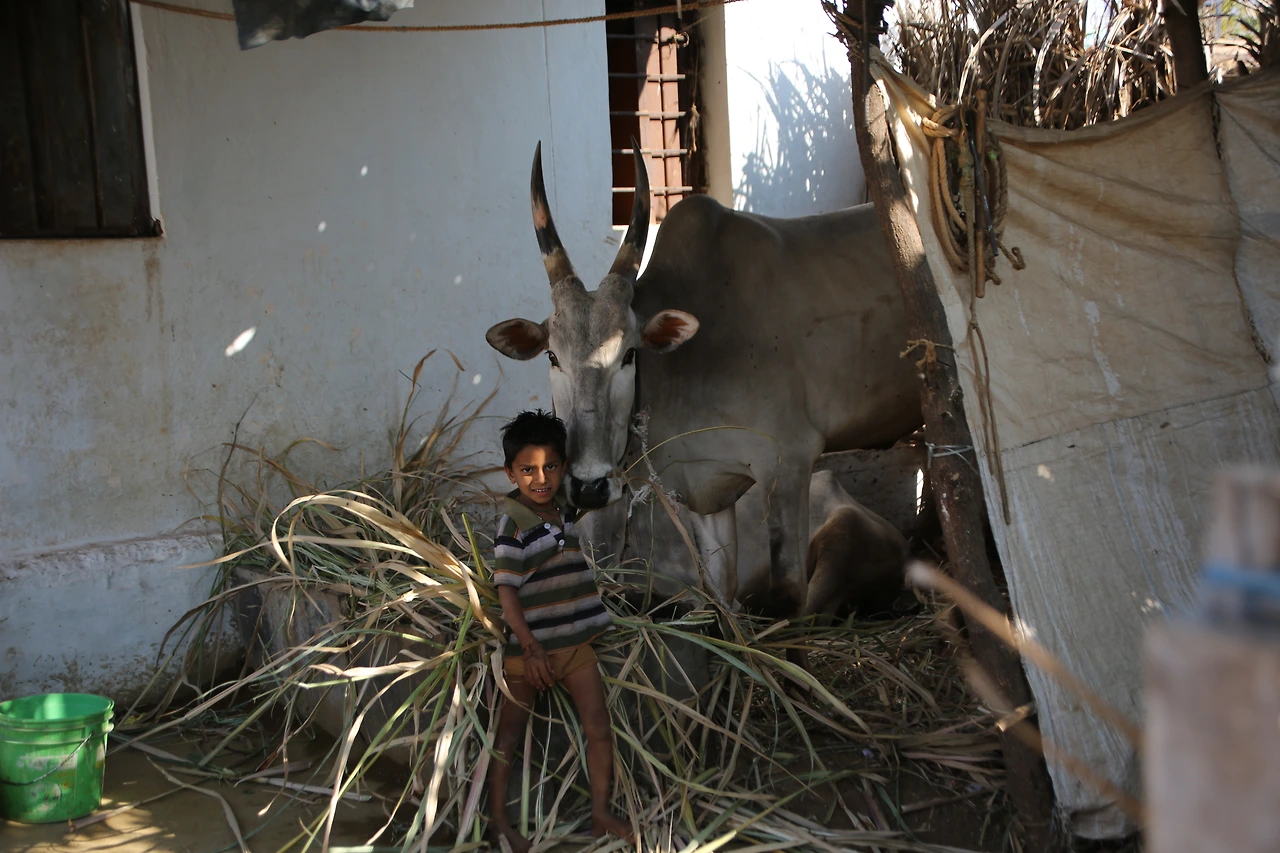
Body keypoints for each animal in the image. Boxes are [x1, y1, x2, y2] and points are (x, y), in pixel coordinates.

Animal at [485, 144, 920, 609]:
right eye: (552, 355)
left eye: (628, 354)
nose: (589, 486)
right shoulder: (707, 497)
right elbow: (721, 597)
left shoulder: (788, 462)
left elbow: (787, 594)